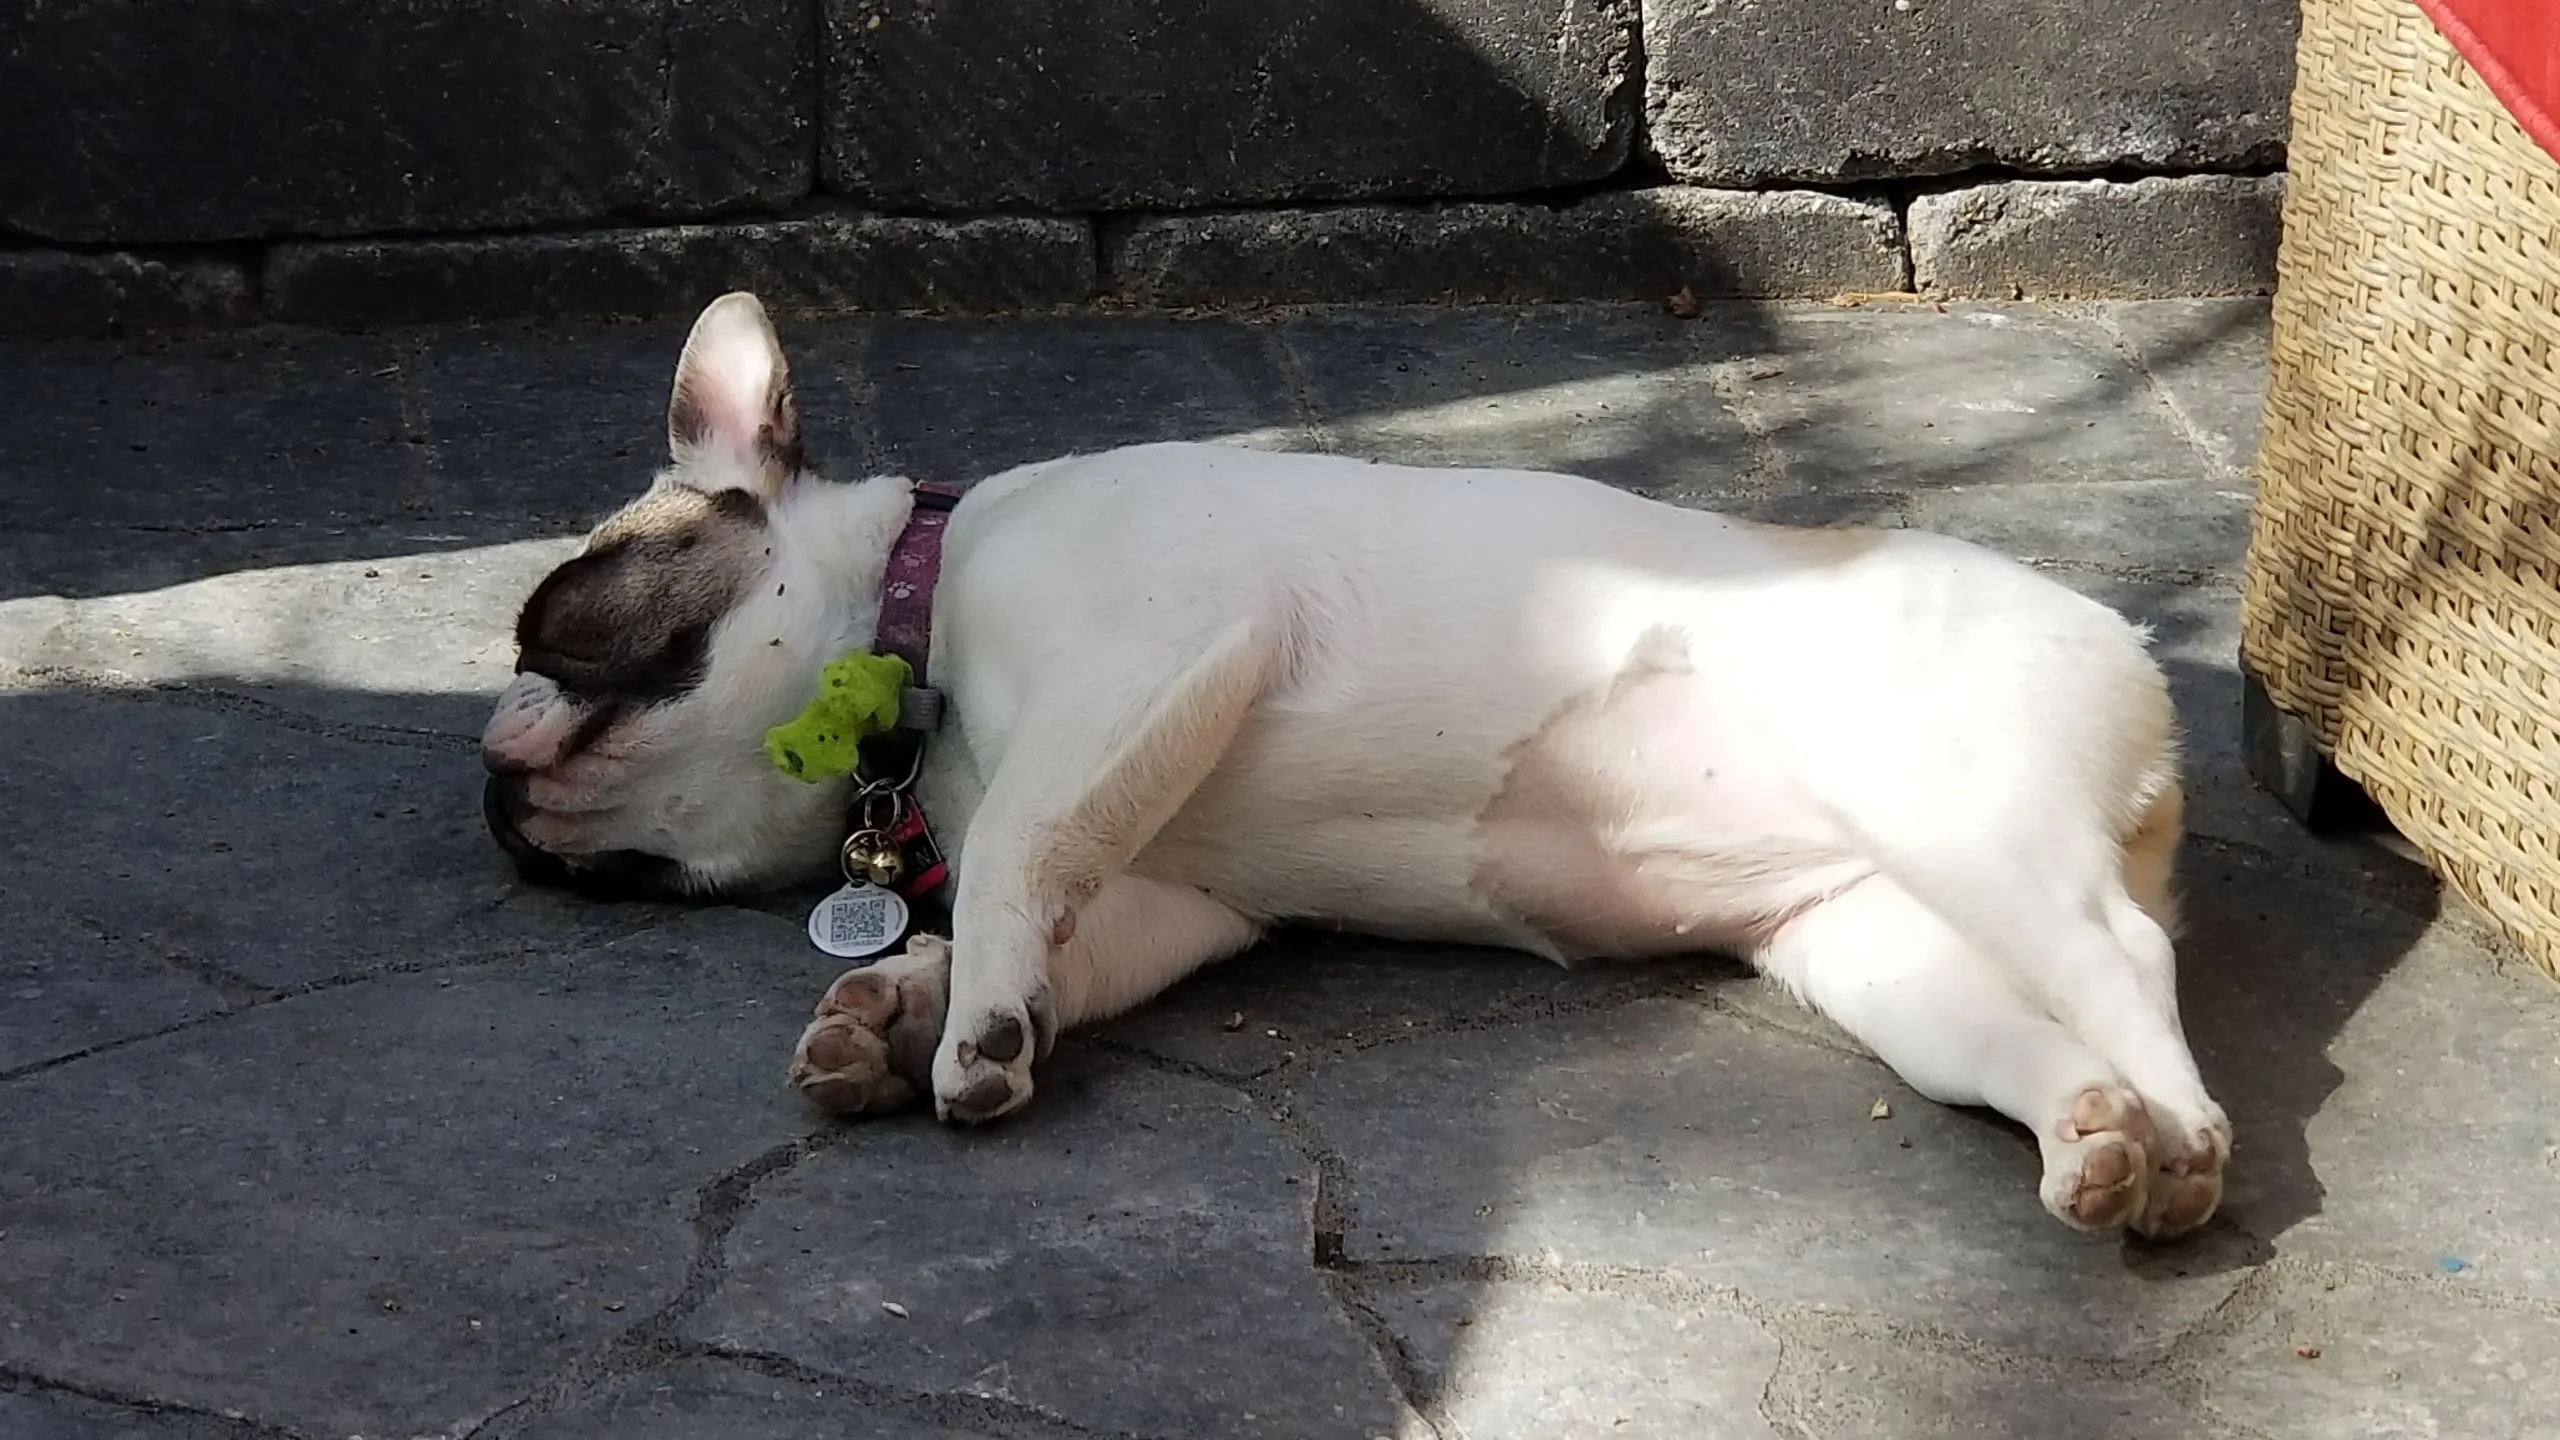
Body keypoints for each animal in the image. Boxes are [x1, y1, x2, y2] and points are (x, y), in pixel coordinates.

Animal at [480, 291, 2229, 1240]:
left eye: (557, 620)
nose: (490, 776)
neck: (910, 631)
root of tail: (2145, 673)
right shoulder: (1170, 890)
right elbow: (1050, 922)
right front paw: (908, 1008)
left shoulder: (1156, 656)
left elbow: (1019, 852)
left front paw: (960, 1022)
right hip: (1874, 943)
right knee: (2013, 1032)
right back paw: (2095, 1135)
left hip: (1960, 811)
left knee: (2129, 964)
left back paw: (2181, 1134)